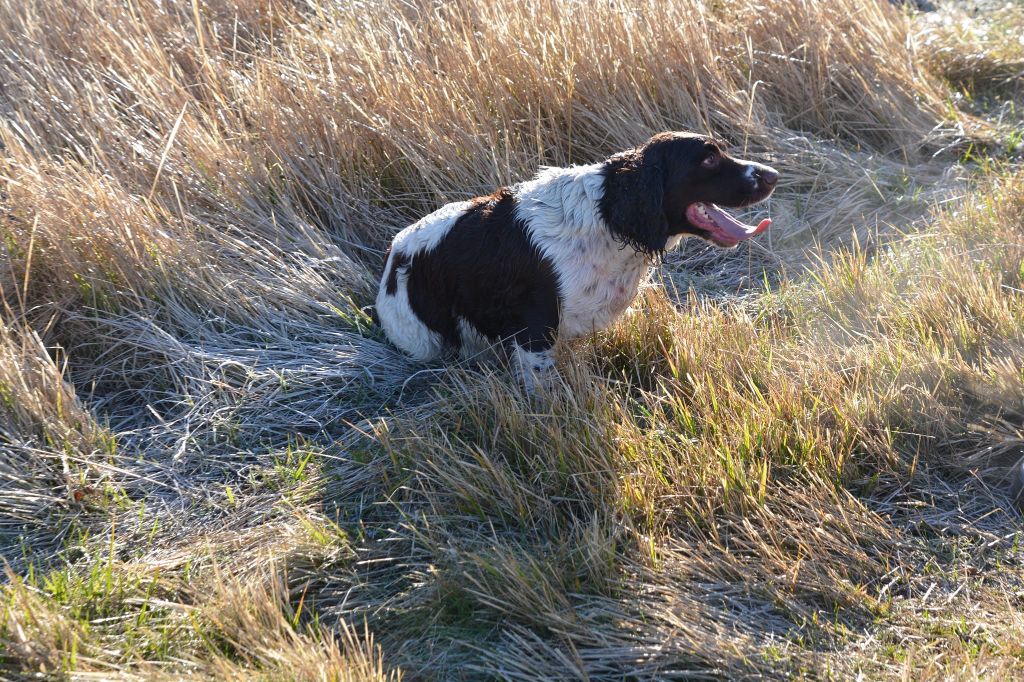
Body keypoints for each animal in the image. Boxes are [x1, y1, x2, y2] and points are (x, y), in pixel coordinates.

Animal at [375, 132, 778, 391]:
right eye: (708, 159)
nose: (773, 174)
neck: (606, 219)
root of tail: (393, 254)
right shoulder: (534, 330)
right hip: (423, 340)